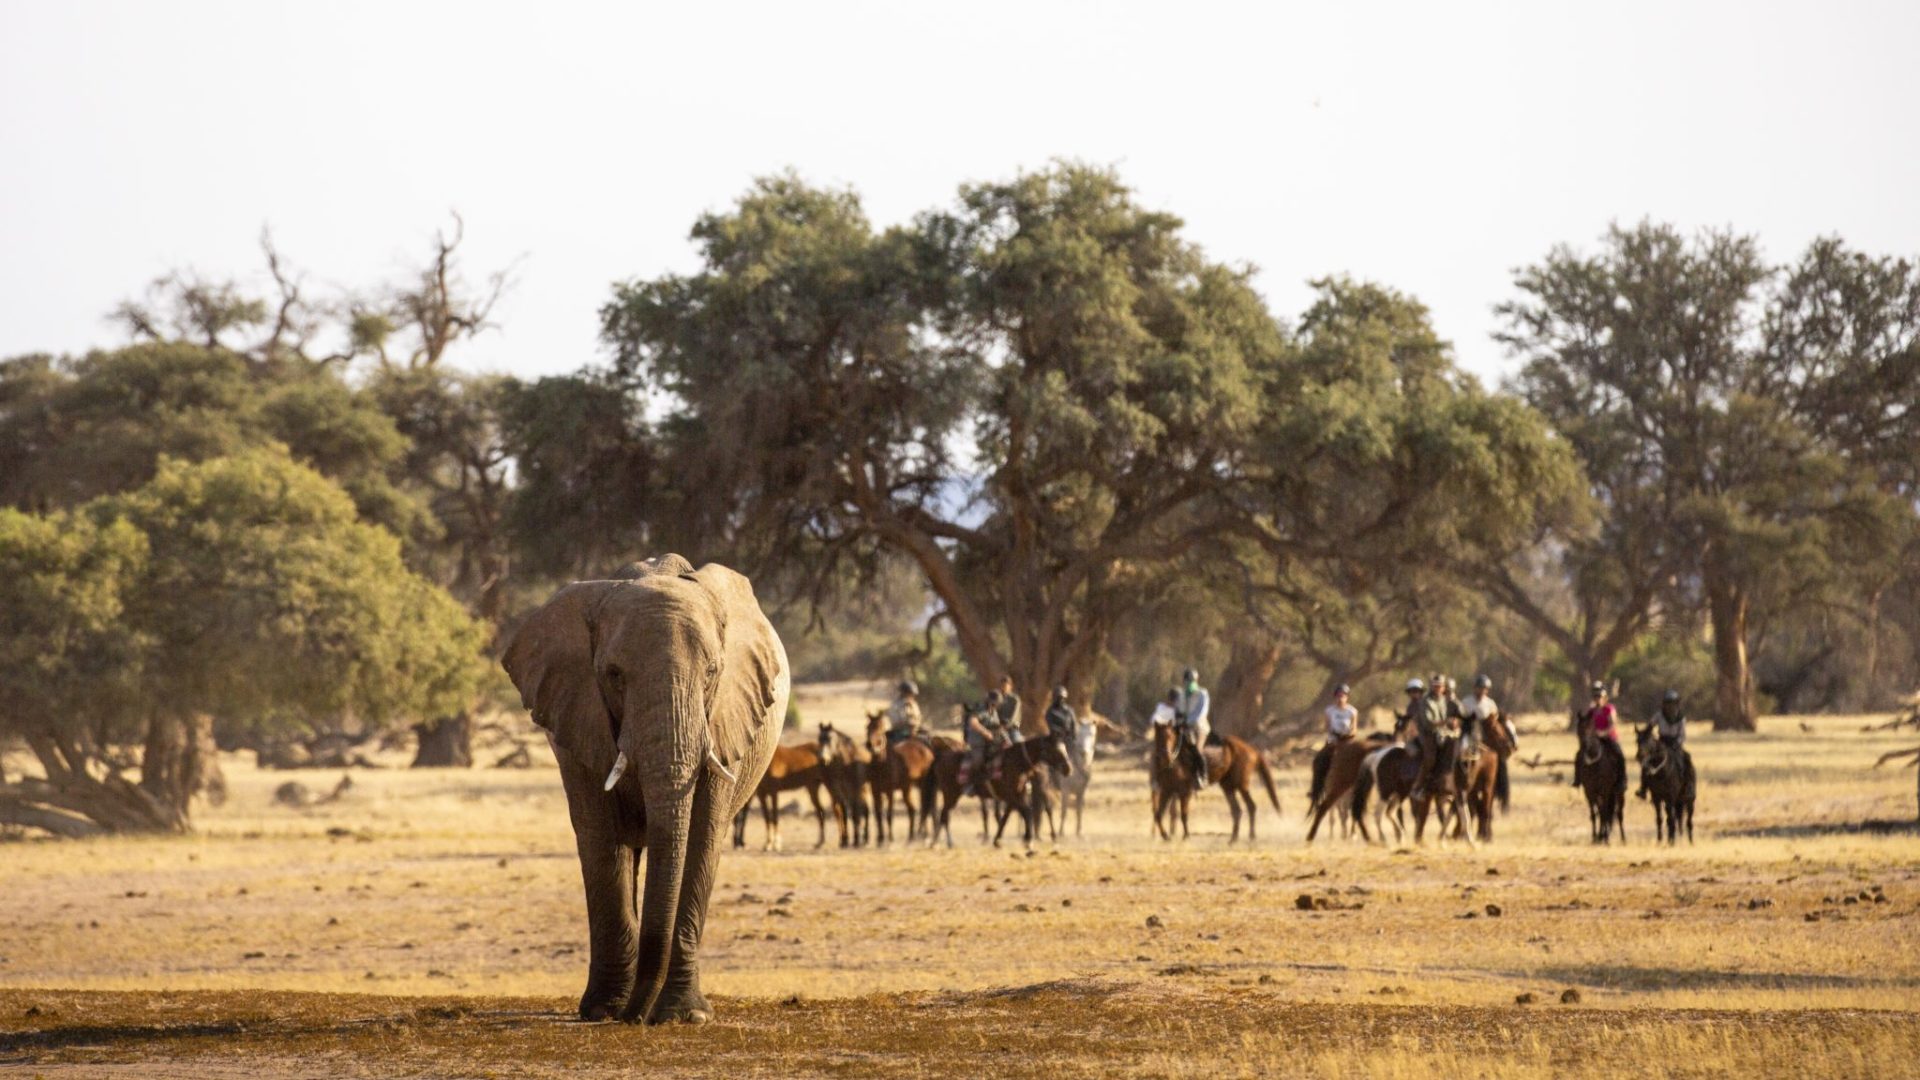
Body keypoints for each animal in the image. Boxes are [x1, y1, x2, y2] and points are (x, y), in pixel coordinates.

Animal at [501, 554, 787, 1024]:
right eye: (614, 675)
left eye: (712, 672)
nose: (636, 1018)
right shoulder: (577, 718)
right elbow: (601, 840)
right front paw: (603, 1011)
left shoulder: (724, 720)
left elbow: (700, 839)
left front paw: (684, 1016)